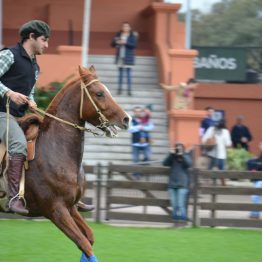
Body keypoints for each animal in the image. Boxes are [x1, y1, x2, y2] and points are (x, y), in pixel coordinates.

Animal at [20, 66, 129, 258]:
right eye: (99, 93)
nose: (126, 119)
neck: (55, 151)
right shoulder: (56, 210)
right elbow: (84, 243)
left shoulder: (71, 207)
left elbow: (89, 238)